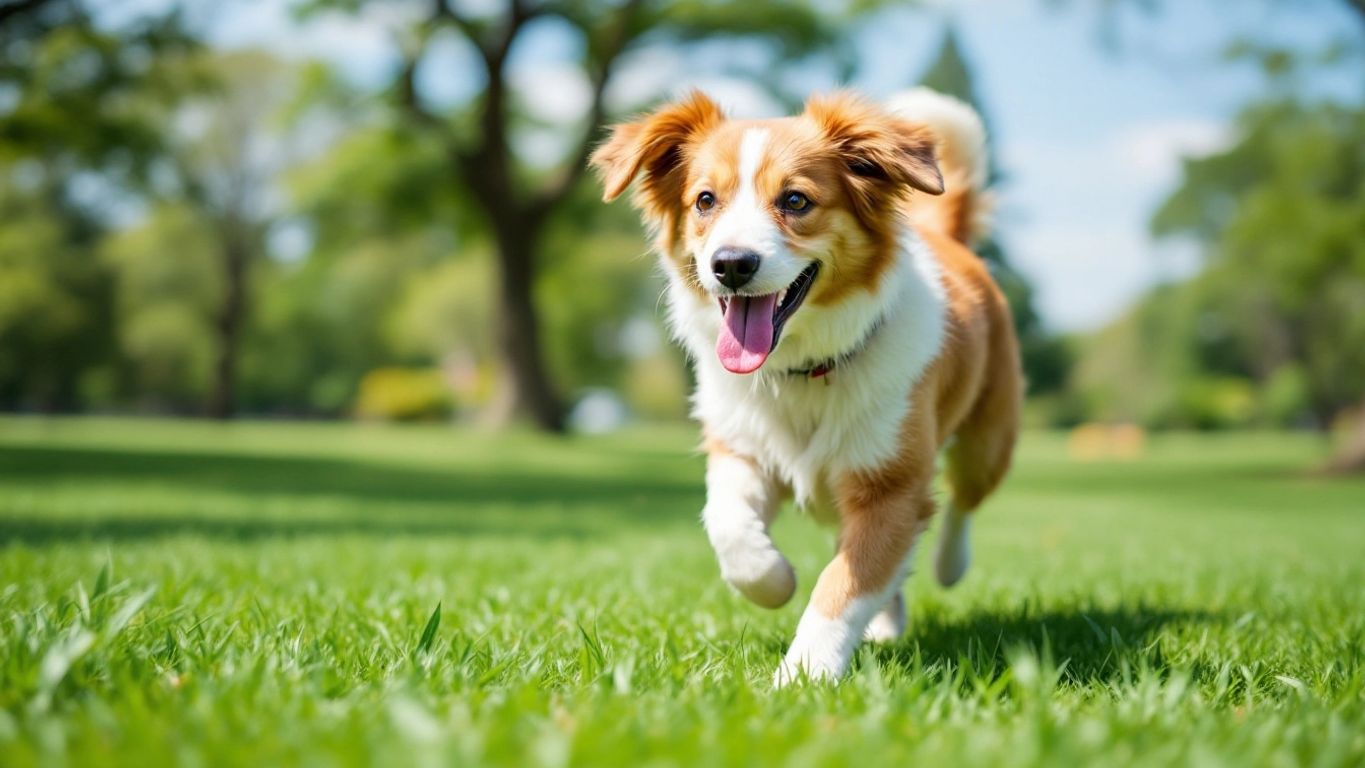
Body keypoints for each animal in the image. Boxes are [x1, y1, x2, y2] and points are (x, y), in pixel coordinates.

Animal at [592, 87, 1021, 682]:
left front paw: (803, 677)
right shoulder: (741, 448)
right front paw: (774, 582)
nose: (731, 264)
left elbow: (844, 585)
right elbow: (728, 526)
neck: (803, 370)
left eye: (795, 200)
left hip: (988, 438)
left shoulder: (890, 486)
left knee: (963, 500)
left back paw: (950, 564)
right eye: (705, 200)